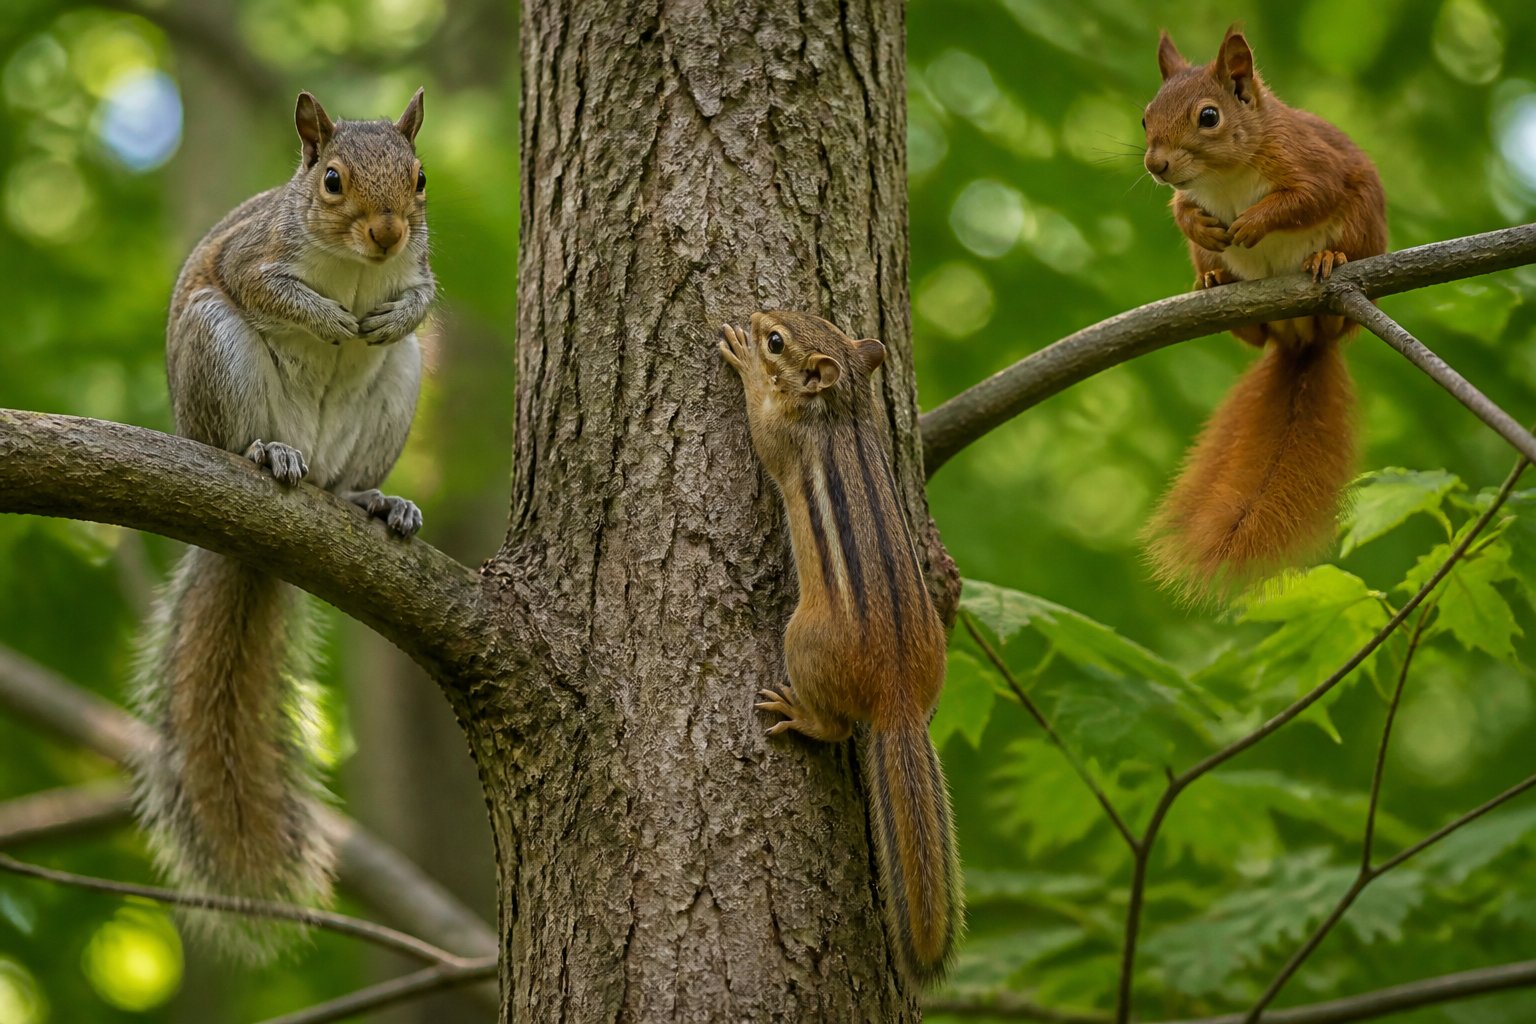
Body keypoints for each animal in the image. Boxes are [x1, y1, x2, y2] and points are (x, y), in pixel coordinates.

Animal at [131, 89, 434, 945]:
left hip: (395, 395)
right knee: (249, 437)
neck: (359, 269)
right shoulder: (252, 255)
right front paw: (328, 319)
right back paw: (269, 454)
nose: (388, 232)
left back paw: (375, 499)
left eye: (420, 179)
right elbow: (273, 291)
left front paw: (393, 315)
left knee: (344, 480)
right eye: (330, 180)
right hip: (218, 355)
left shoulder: (418, 268)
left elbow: (423, 295)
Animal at [719, 311, 962, 984]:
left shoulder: (783, 438)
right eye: (823, 320)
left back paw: (798, 713)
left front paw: (745, 362)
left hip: (801, 640)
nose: (759, 315)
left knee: (833, 727)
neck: (843, 407)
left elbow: (760, 427)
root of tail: (899, 702)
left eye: (778, 340)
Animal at [1140, 26, 1387, 597]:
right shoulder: (1189, 196)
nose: (1155, 165)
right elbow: (1181, 210)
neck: (1225, 176)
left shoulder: (1311, 162)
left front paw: (1254, 222)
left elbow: (1305, 197)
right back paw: (1215, 280)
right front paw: (1201, 223)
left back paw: (1328, 261)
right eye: (1145, 117)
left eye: (1209, 116)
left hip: (1360, 226)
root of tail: (1301, 339)